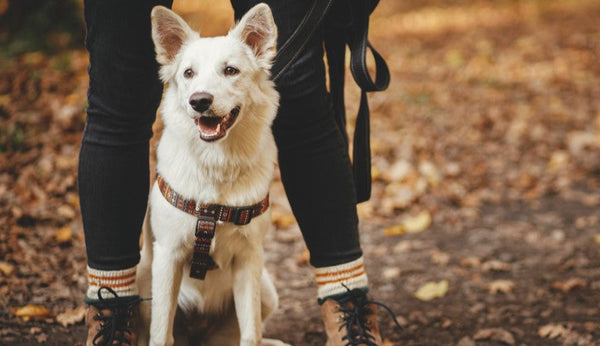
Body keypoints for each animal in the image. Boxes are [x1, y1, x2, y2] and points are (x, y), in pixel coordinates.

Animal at [138, 4, 286, 346]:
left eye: (230, 70)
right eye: (188, 73)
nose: (199, 101)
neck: (217, 166)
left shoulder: (249, 259)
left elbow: (251, 333)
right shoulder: (167, 257)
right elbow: (160, 334)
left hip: (267, 291)